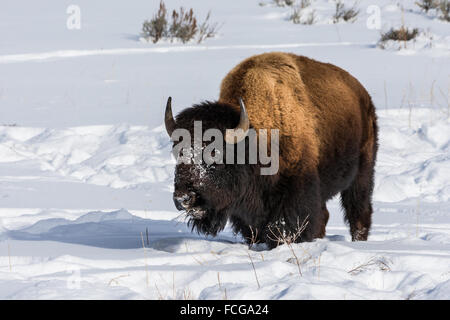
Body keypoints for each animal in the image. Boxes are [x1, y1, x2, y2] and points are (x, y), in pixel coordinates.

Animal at [163, 52, 378, 248]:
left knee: (358, 211)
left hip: (362, 174)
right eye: (177, 152)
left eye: (215, 153)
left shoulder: (295, 196)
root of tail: (362, 94)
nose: (183, 198)